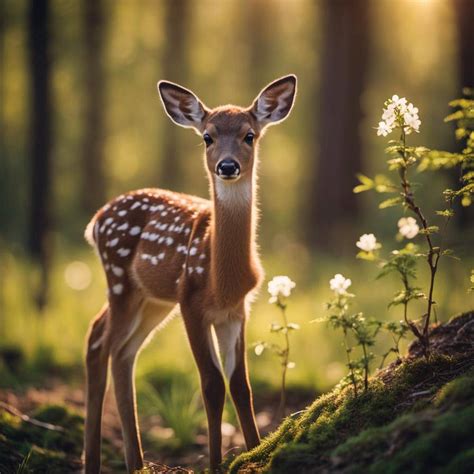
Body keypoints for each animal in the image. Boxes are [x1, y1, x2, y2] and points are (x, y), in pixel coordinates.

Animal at [83, 73, 294, 470]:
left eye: (249, 135)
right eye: (207, 136)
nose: (227, 166)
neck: (220, 279)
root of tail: (95, 221)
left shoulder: (236, 311)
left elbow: (240, 384)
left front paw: (255, 450)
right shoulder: (191, 301)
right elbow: (211, 383)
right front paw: (214, 464)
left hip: (152, 299)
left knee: (120, 350)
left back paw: (137, 463)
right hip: (120, 282)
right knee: (101, 343)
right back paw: (99, 463)